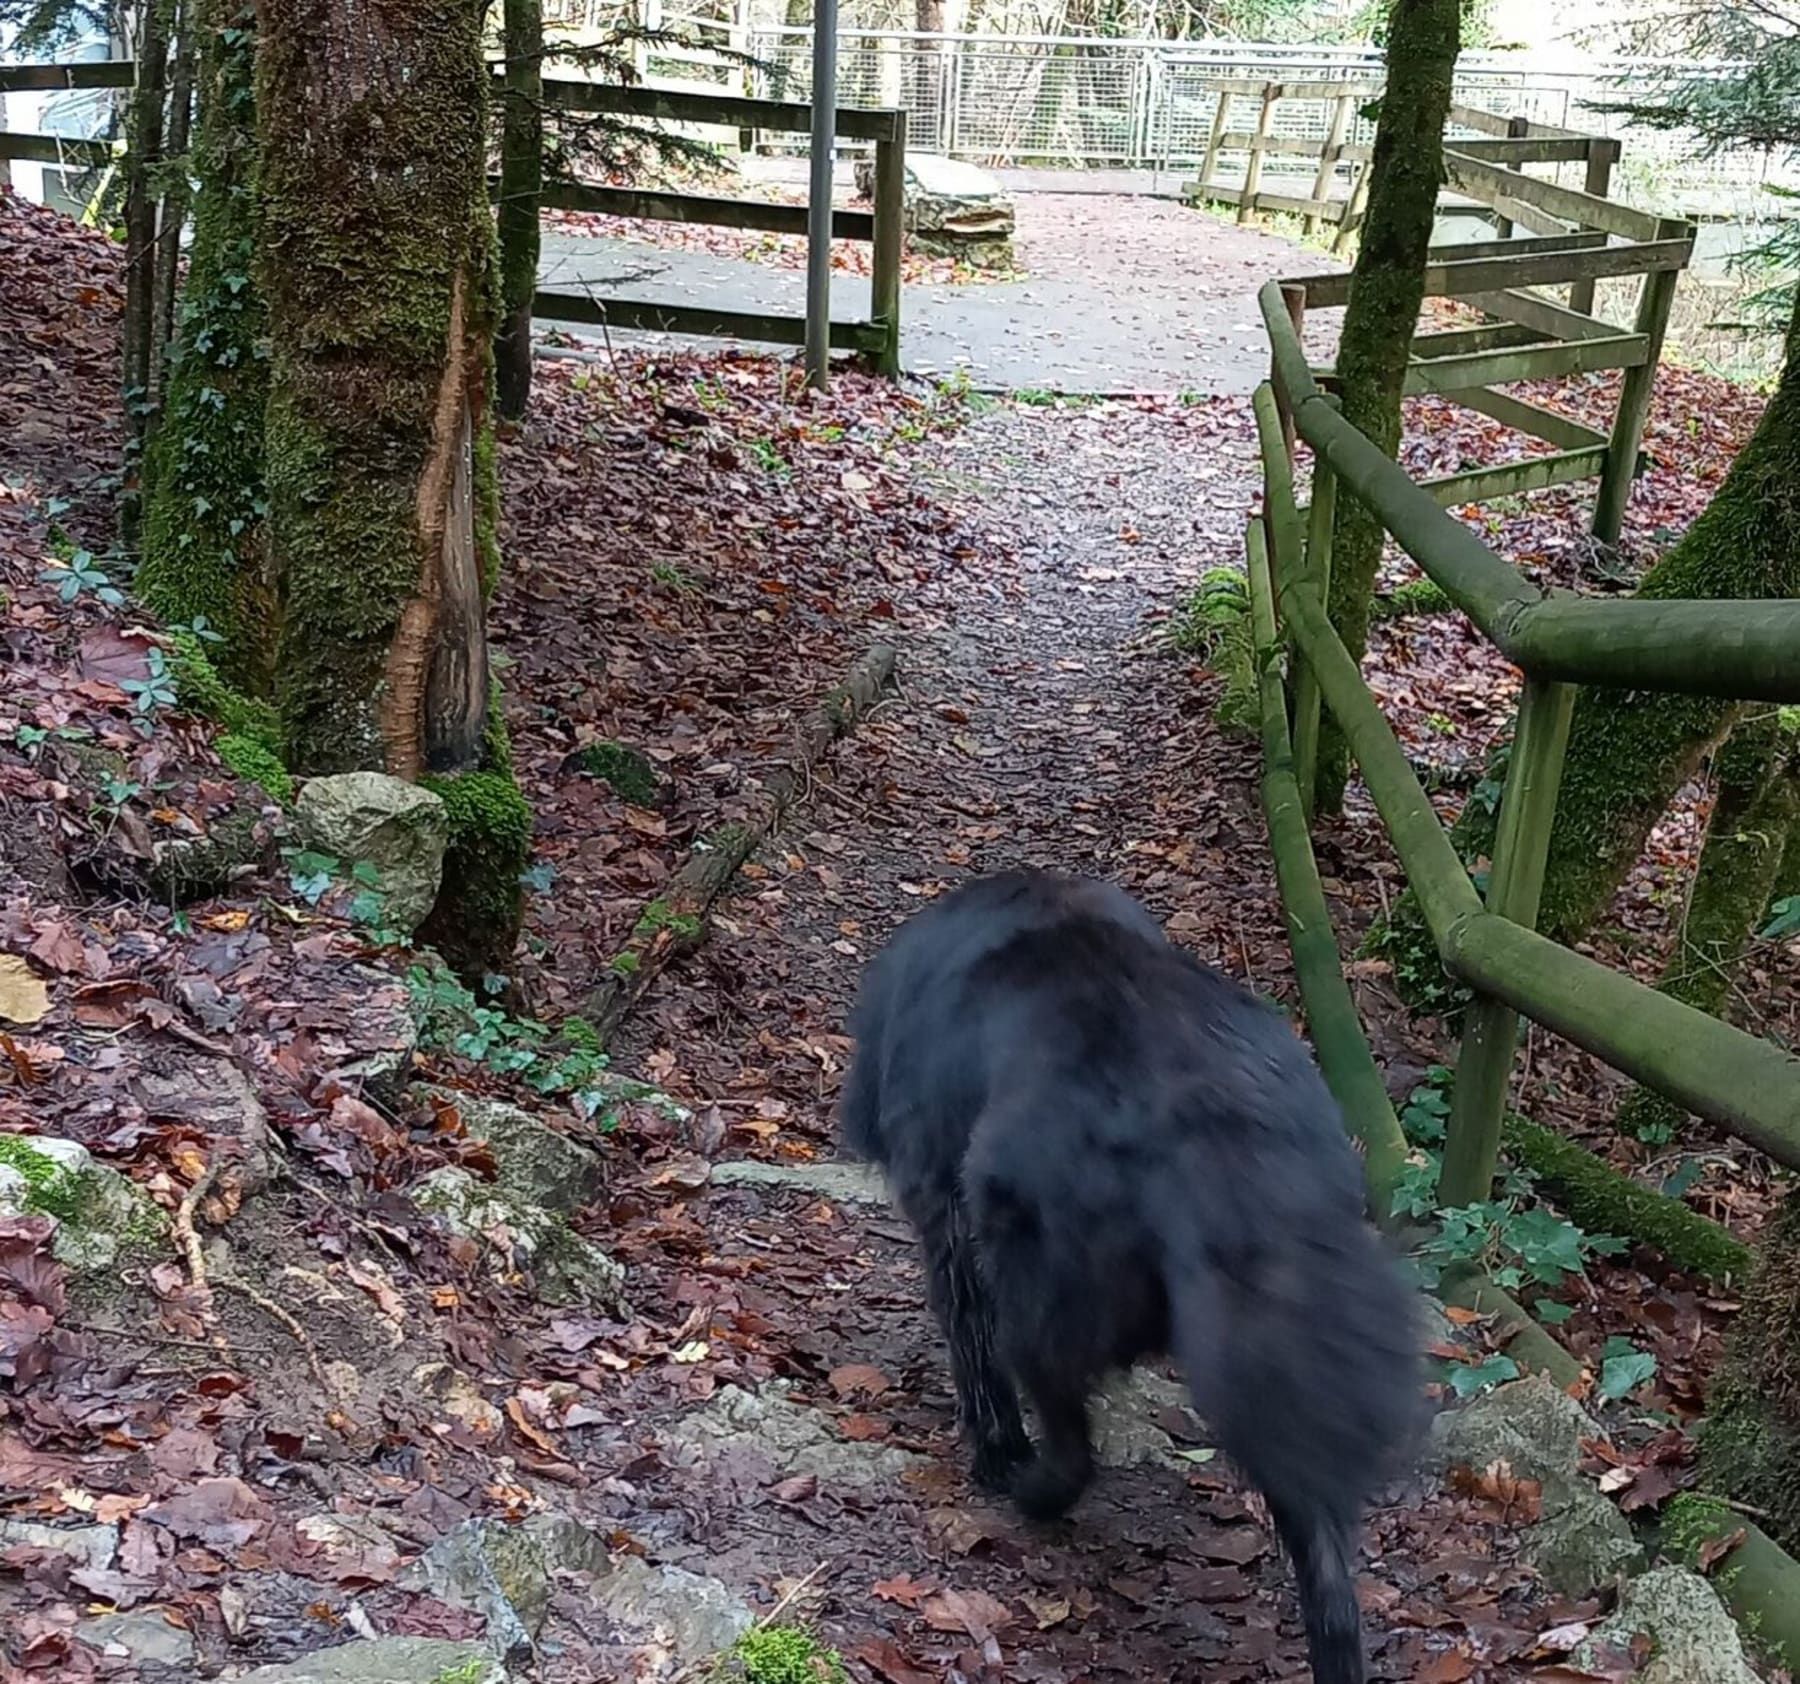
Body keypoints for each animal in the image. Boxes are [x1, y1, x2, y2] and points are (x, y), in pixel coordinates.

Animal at [838, 867, 1418, 1684]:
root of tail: (1206, 1121)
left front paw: (993, 1454)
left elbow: (973, 1354)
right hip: (1284, 1340)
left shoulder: (944, 1209)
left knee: (1064, 1428)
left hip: (1035, 1277)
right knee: (1327, 1564)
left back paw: (1032, 1490)